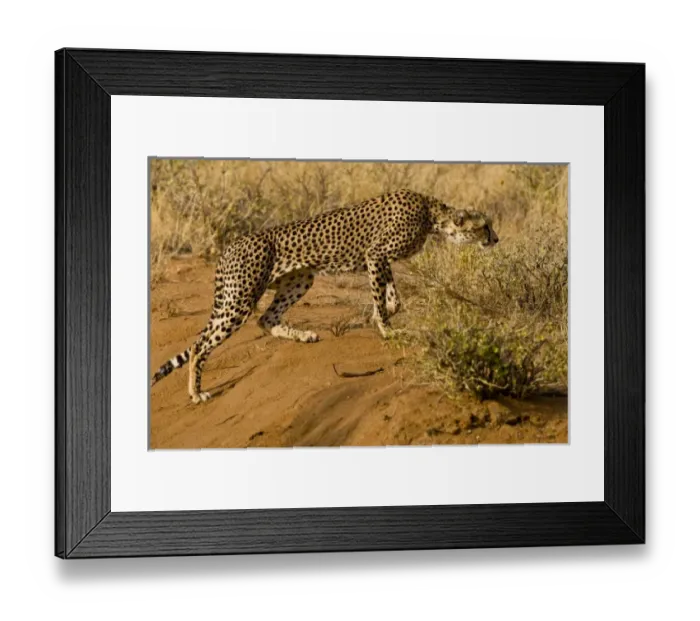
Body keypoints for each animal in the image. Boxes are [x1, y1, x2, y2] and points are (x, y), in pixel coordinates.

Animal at [151, 189, 499, 403]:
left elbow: (393, 297)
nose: (496, 238)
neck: (430, 215)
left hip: (300, 278)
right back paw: (196, 392)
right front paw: (386, 329)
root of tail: (230, 246)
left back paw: (303, 336)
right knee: (200, 345)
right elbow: (381, 295)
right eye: (485, 226)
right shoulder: (376, 254)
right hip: (240, 298)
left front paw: (383, 314)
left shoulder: (380, 259)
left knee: (266, 318)